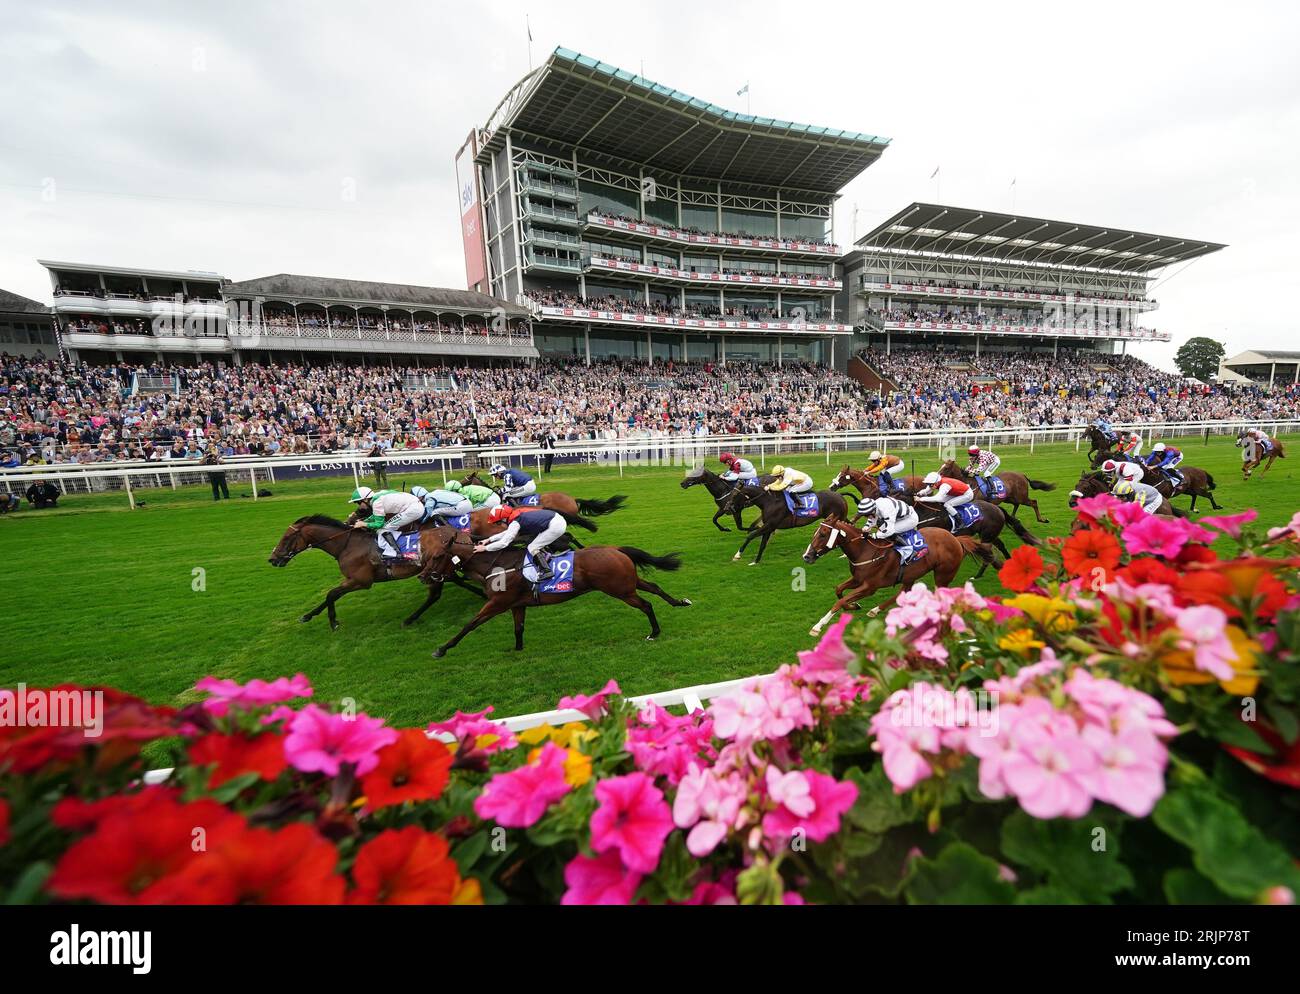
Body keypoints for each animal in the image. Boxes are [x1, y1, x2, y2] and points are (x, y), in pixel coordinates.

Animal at [266, 514, 475, 631]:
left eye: (286, 538)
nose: (273, 559)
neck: (347, 545)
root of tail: (457, 532)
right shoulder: (351, 579)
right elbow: (329, 596)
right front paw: (308, 616)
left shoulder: (361, 581)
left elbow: (331, 594)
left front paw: (333, 622)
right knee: (452, 583)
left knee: (435, 595)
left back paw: (409, 620)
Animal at [421, 527, 696, 660]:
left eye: (437, 556)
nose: (423, 576)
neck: (497, 565)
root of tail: (616, 549)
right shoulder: (517, 604)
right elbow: (518, 628)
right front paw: (518, 649)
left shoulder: (498, 603)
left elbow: (470, 624)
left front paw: (442, 649)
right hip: (628, 582)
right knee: (655, 589)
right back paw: (680, 602)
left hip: (620, 589)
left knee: (646, 604)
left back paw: (654, 632)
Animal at [717, 483, 847, 566]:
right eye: (730, 494)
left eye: (735, 495)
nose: (726, 508)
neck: (769, 502)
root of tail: (840, 495)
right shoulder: (769, 527)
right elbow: (762, 545)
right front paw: (755, 561)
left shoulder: (769, 525)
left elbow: (750, 535)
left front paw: (737, 555)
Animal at [795, 511, 987, 636]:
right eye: (816, 532)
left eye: (823, 534)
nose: (806, 556)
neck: (864, 550)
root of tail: (956, 539)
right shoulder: (857, 579)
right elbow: (839, 591)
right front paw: (854, 606)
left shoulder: (869, 587)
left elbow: (840, 601)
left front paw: (818, 626)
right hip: (910, 575)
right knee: (903, 592)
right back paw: (875, 610)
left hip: (943, 574)